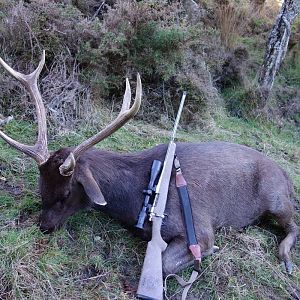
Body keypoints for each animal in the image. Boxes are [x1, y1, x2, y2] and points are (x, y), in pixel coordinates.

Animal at [0, 52, 298, 276]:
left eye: (65, 194)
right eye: (41, 188)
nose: (43, 226)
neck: (134, 197)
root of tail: (286, 175)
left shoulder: (200, 228)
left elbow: (167, 263)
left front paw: (210, 252)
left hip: (276, 198)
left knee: (293, 224)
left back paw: (285, 257)